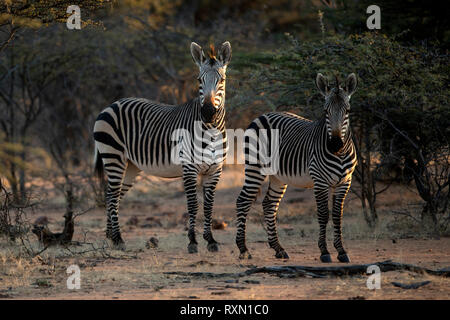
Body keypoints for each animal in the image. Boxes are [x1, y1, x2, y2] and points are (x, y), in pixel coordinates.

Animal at [92, 41, 230, 252]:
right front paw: (192, 241)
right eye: (199, 80)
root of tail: (111, 104)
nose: (207, 112)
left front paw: (211, 240)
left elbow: (209, 206)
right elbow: (193, 205)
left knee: (113, 196)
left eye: (221, 80)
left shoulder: (215, 170)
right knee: (113, 195)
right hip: (113, 156)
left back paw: (111, 236)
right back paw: (118, 239)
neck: (211, 130)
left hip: (131, 165)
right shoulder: (189, 169)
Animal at [236, 72, 358, 262]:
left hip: (278, 176)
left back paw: (278, 249)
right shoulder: (320, 181)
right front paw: (324, 252)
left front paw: (341, 251)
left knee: (269, 204)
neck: (340, 154)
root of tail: (262, 115)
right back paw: (243, 249)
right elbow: (323, 214)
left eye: (348, 111)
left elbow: (338, 215)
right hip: (255, 168)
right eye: (325, 111)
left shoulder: (345, 182)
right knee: (243, 201)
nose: (335, 144)